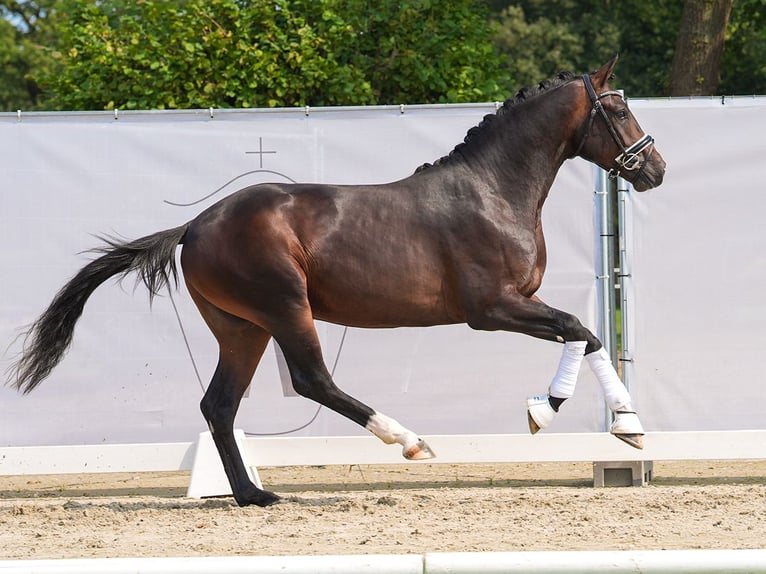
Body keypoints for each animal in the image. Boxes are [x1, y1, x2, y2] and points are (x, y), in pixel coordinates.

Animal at [7, 56, 664, 508]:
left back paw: (253, 495)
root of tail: (195, 225)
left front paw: (625, 429)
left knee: (219, 404)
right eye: (618, 109)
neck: (494, 190)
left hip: (242, 328)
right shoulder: (495, 307)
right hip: (284, 308)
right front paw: (552, 414)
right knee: (311, 380)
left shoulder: (516, 304)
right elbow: (578, 328)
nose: (655, 169)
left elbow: (587, 335)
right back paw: (408, 440)